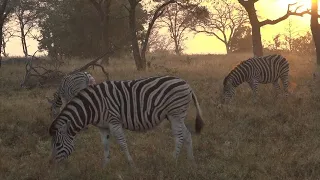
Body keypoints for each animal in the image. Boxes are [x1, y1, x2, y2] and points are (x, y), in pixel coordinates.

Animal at [48, 75, 204, 167]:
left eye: (57, 144)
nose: (52, 165)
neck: (92, 107)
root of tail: (186, 84)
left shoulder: (114, 121)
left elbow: (122, 143)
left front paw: (131, 165)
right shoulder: (103, 127)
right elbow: (105, 145)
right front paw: (105, 167)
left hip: (175, 114)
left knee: (179, 136)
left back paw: (173, 161)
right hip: (175, 116)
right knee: (187, 135)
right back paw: (191, 161)